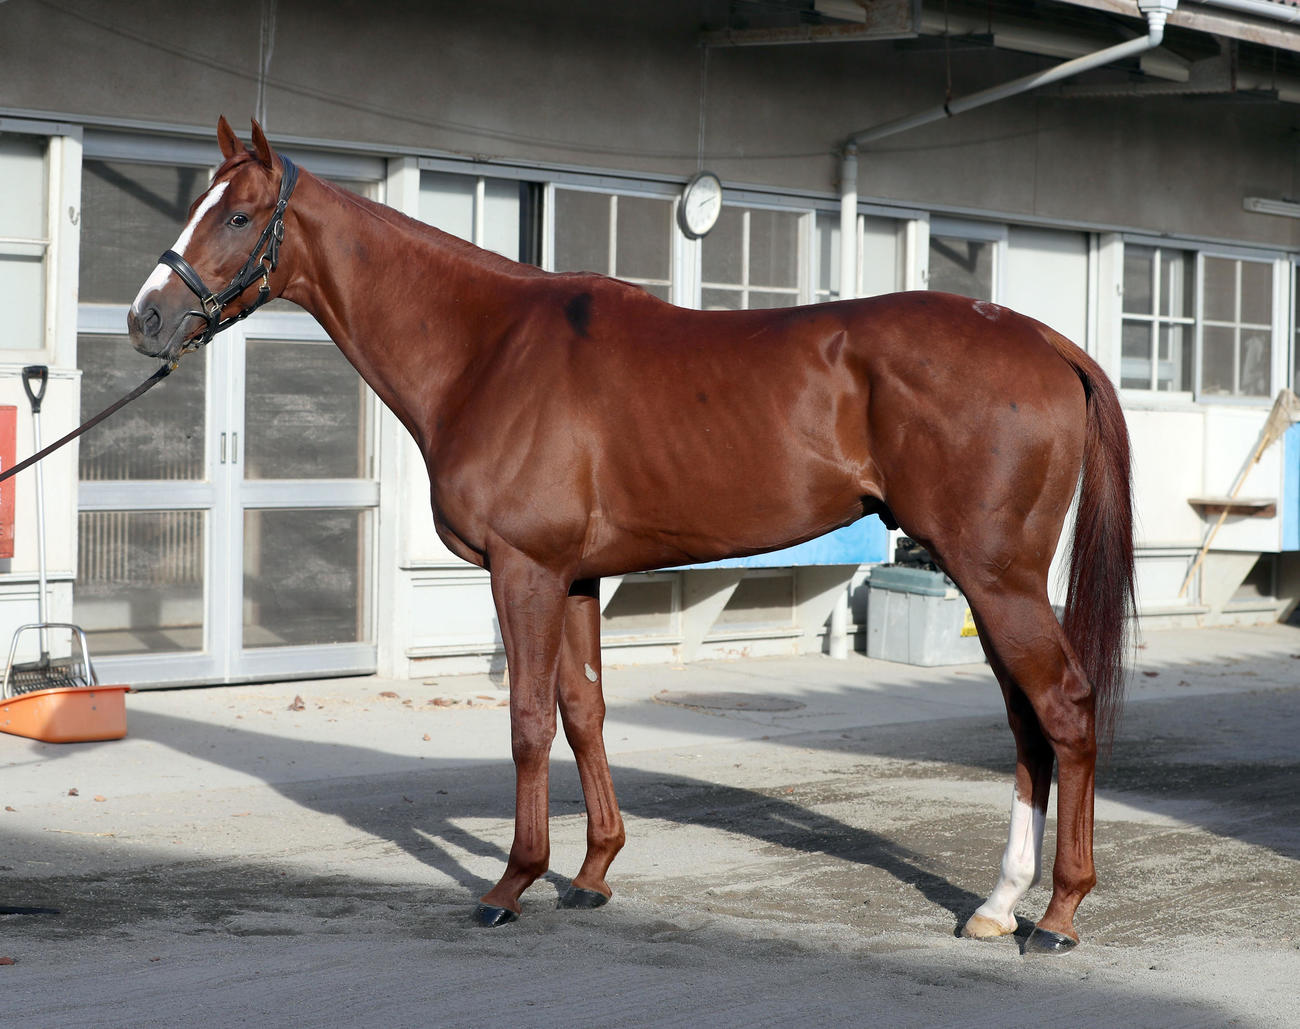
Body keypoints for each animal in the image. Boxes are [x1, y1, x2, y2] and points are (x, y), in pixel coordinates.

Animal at [127, 118, 1134, 955]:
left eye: (240, 214)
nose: (146, 318)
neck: (487, 349)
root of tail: (1045, 341)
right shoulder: (574, 577)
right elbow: (585, 710)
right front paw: (593, 870)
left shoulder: (524, 570)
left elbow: (529, 720)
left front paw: (512, 882)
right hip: (987, 579)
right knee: (1026, 723)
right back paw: (998, 904)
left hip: (994, 575)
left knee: (1064, 708)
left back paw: (1057, 913)